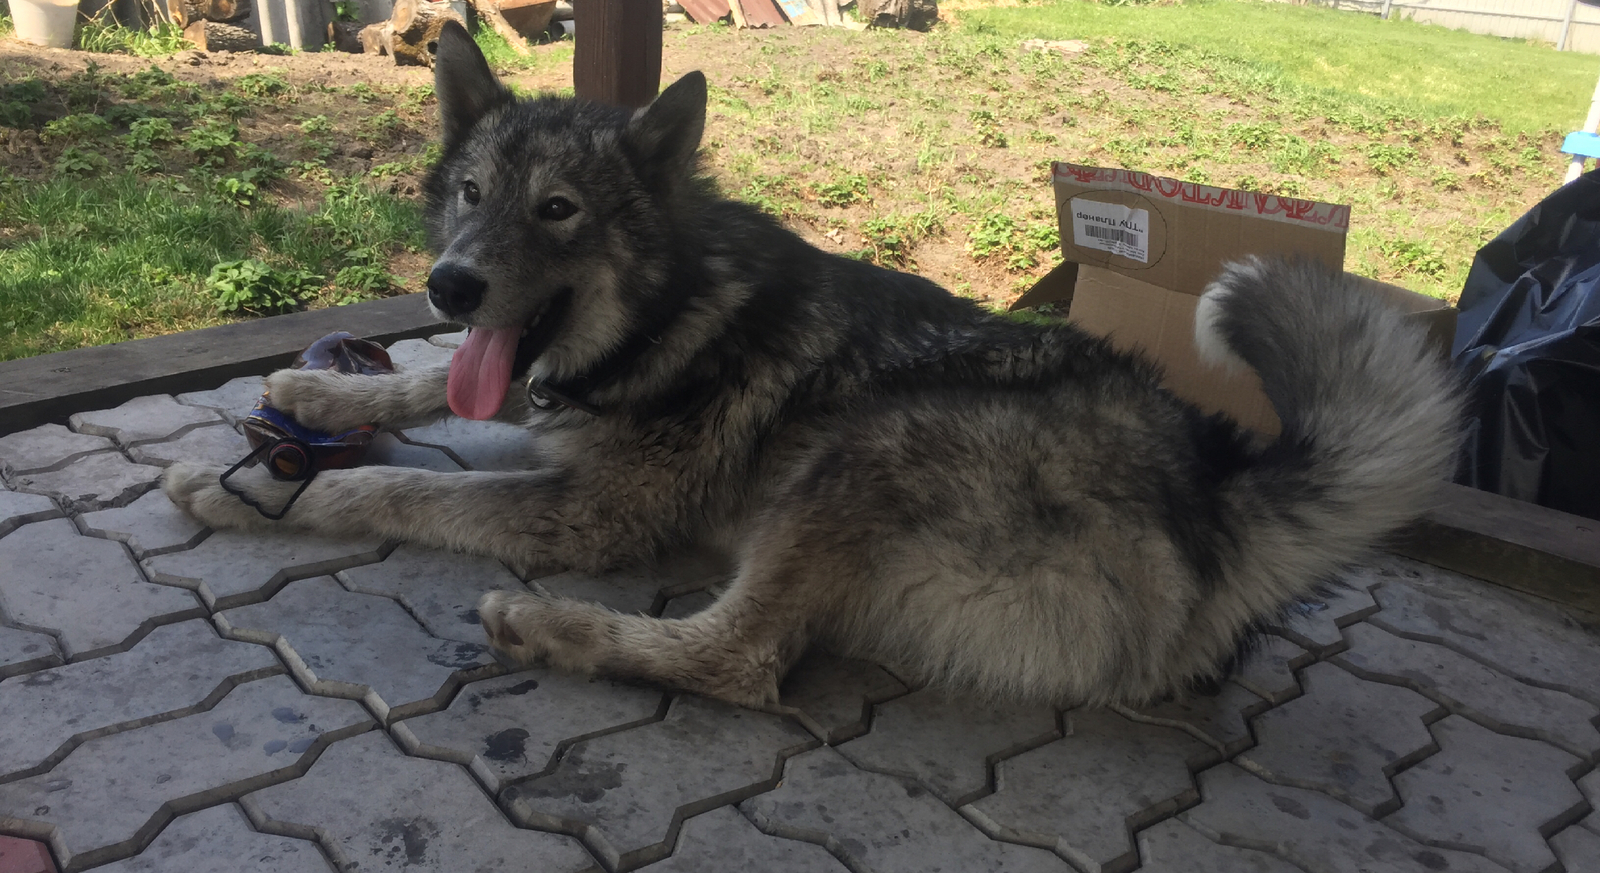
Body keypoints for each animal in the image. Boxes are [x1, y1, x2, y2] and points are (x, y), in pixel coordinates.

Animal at [165, 22, 1465, 706]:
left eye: (559, 210)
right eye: (473, 195)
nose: (450, 284)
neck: (670, 311)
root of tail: (1214, 495)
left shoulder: (584, 516)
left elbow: (391, 483)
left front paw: (266, 487)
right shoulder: (516, 382)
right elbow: (434, 377)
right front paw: (314, 389)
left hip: (862, 451)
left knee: (740, 660)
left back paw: (553, 630)